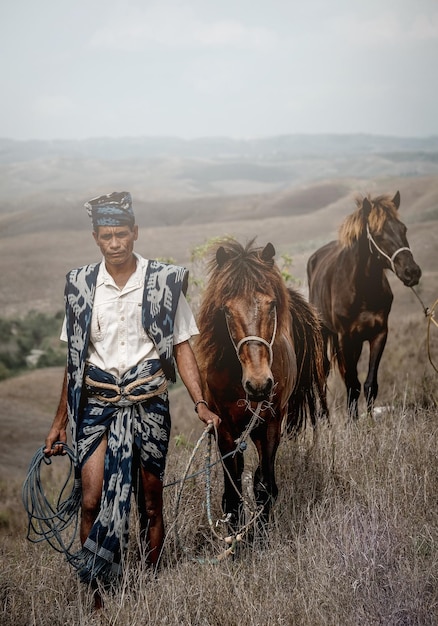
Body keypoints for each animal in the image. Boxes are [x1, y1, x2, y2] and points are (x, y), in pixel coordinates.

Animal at [193, 238, 326, 528]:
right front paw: (236, 536)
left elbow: (264, 486)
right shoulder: (224, 429)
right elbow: (232, 494)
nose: (259, 384)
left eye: (271, 304)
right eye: (227, 310)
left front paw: (261, 533)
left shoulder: (271, 425)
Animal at [306, 188, 422, 416]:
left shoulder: (379, 334)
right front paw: (352, 421)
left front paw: (368, 421)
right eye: (377, 234)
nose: (411, 272)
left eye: (403, 228)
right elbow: (352, 384)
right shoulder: (345, 338)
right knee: (323, 372)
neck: (362, 290)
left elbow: (369, 385)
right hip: (324, 333)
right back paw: (324, 417)